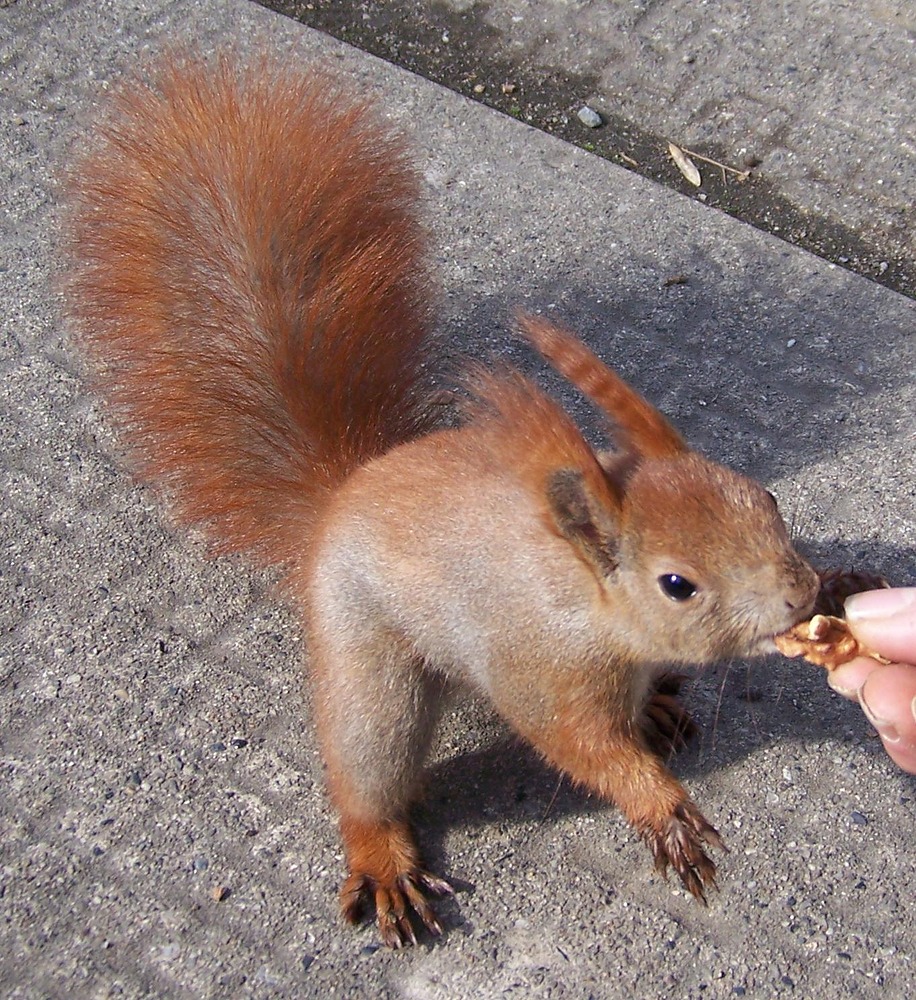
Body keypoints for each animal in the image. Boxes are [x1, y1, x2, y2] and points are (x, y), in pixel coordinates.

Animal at [66, 54, 824, 944]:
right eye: (678, 584)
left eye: (764, 498)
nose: (806, 594)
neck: (590, 604)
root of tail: (339, 496)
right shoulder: (542, 672)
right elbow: (580, 747)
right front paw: (660, 809)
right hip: (370, 663)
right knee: (367, 769)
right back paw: (382, 858)